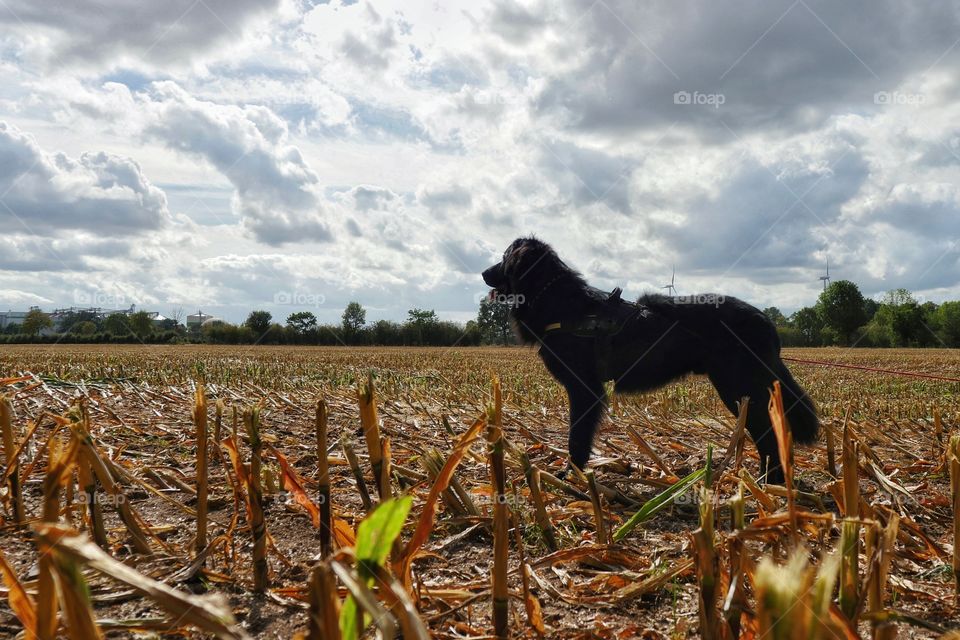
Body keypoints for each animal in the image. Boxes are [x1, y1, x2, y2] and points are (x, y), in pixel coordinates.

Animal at [484, 238, 820, 482]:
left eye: (503, 256)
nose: (483, 273)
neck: (563, 305)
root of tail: (766, 321)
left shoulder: (585, 391)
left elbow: (576, 438)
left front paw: (571, 474)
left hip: (740, 389)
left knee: (769, 434)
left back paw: (768, 484)